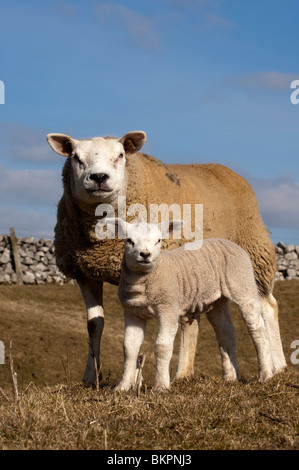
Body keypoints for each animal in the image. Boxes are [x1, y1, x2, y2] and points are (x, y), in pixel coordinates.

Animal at [108, 218, 276, 392]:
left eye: (158, 240)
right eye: (129, 240)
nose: (145, 254)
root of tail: (228, 242)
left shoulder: (168, 308)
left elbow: (162, 347)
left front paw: (161, 386)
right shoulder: (132, 312)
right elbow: (129, 348)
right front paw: (123, 386)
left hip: (242, 284)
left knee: (257, 328)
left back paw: (266, 375)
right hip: (217, 300)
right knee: (226, 332)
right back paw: (230, 377)